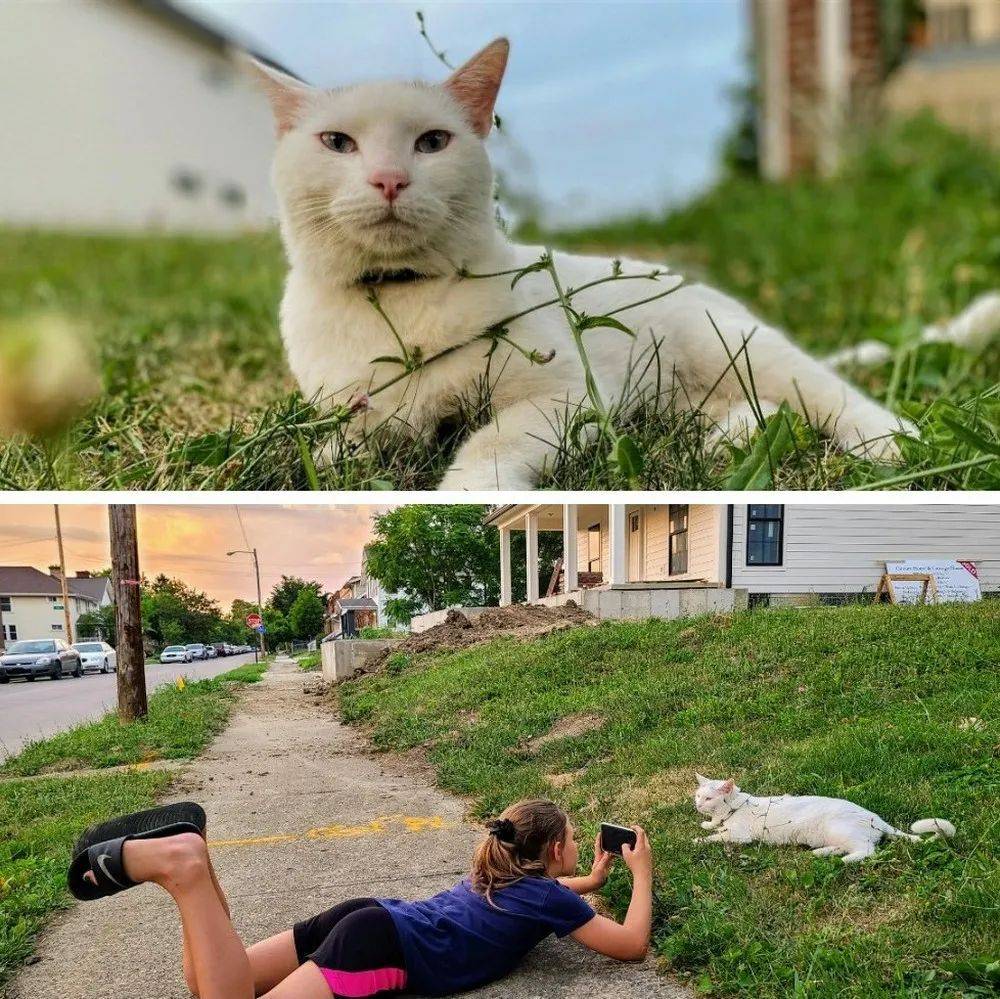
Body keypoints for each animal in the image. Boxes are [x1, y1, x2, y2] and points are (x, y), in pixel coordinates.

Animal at [244, 40, 916, 492]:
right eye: (337, 143)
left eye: (432, 142)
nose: (389, 178)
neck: (398, 297)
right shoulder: (349, 414)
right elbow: (332, 451)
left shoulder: (569, 395)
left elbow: (491, 439)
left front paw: (473, 490)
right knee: (762, 409)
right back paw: (726, 439)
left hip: (738, 347)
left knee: (827, 397)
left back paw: (892, 446)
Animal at [692, 776, 956, 864]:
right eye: (697, 795)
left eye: (708, 798)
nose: (697, 804)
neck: (736, 808)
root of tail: (876, 817)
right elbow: (715, 827)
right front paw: (707, 824)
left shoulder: (739, 836)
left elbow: (716, 836)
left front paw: (698, 839)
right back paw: (821, 853)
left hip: (841, 830)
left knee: (866, 850)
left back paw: (845, 861)